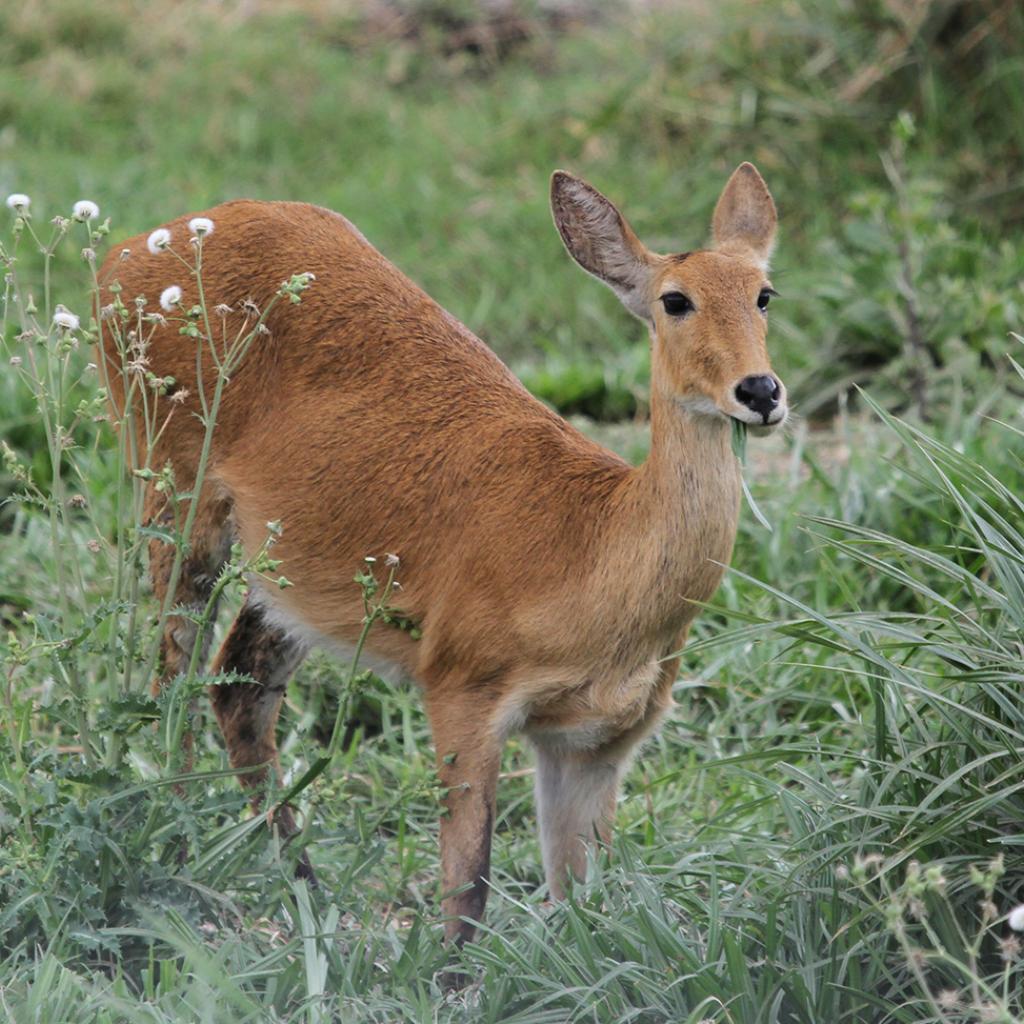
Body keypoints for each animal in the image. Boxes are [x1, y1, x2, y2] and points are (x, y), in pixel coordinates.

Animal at [97, 161, 782, 950]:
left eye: (764, 293)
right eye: (675, 299)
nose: (761, 390)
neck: (592, 552)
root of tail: (120, 255)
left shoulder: (597, 742)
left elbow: (582, 899)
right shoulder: (461, 684)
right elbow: (467, 889)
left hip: (289, 573)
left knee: (237, 689)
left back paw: (307, 895)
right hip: (176, 489)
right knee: (171, 683)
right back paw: (178, 869)